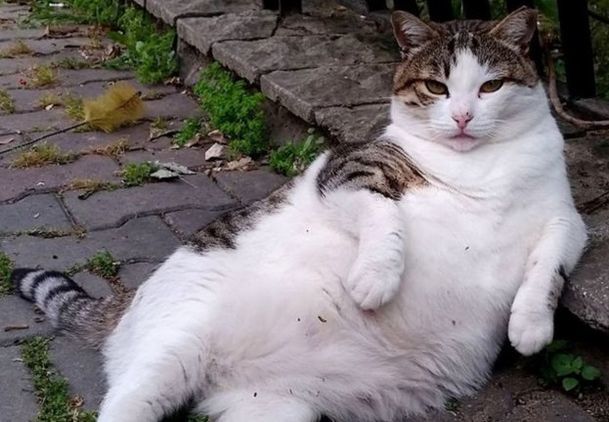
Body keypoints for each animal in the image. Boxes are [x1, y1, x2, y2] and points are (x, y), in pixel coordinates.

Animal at [13, 7, 584, 422]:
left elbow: (550, 266)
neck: (481, 170)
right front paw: (375, 279)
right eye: (436, 88)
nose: (463, 117)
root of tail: (127, 303)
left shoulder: (569, 222)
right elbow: (383, 215)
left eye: (491, 86)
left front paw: (531, 325)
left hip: (275, 411)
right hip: (169, 351)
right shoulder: (344, 172)